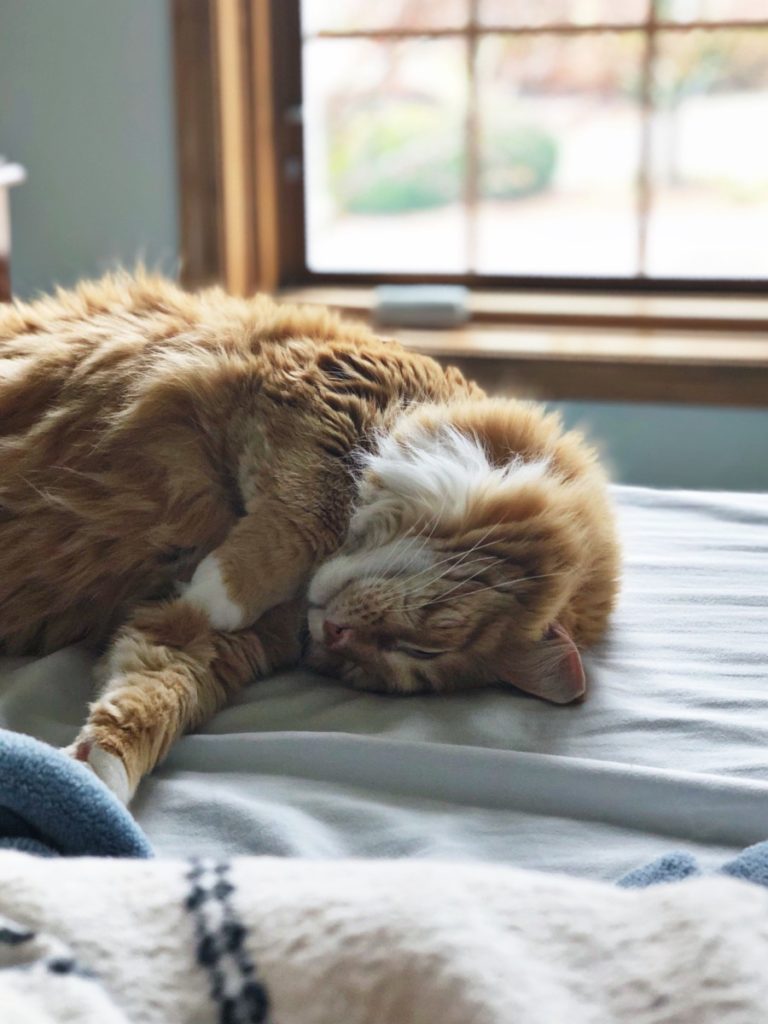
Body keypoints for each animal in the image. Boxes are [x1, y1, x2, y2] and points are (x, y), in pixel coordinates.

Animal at [0, 276, 618, 802]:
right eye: (428, 647)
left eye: (382, 670)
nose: (336, 635)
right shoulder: (320, 399)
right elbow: (307, 519)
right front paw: (218, 589)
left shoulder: (204, 640)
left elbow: (152, 698)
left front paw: (91, 781)